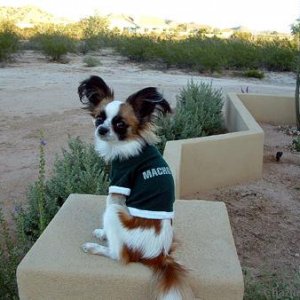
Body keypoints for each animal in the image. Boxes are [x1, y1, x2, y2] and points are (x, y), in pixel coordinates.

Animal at [78, 76, 191, 298]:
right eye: (99, 118)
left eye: (120, 124)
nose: (101, 129)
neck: (126, 144)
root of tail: (158, 256)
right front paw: (103, 233)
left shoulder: (119, 186)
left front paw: (104, 235)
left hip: (115, 212)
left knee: (118, 254)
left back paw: (95, 247)